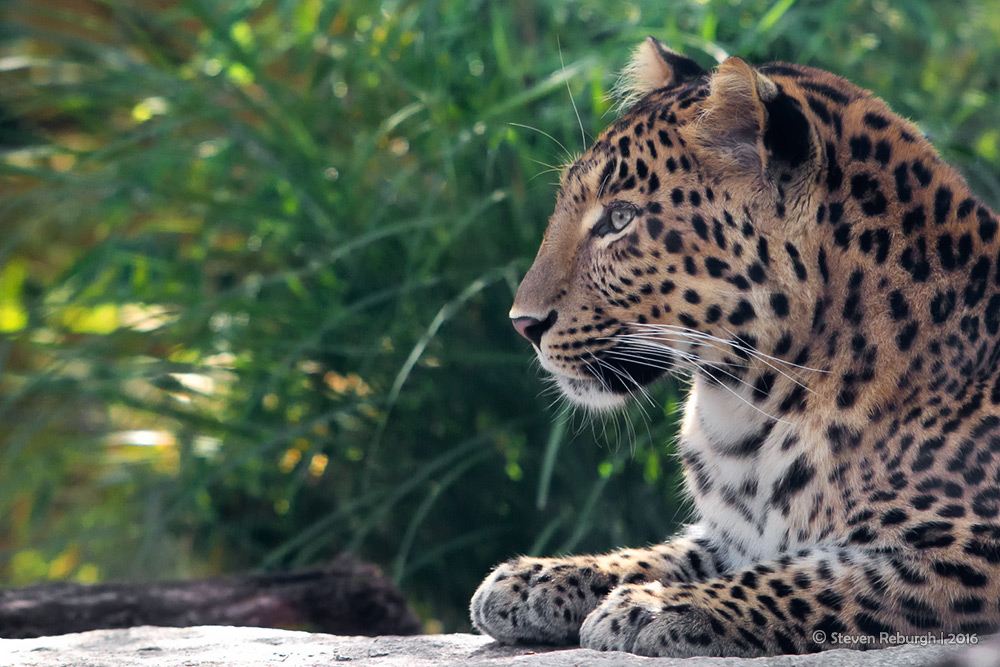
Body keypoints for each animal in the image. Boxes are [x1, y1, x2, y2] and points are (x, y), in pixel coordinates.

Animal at [468, 36, 1000, 656]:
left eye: (620, 218)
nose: (522, 323)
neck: (747, 414)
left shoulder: (971, 549)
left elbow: (809, 577)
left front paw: (659, 608)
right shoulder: (729, 535)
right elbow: (666, 552)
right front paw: (537, 579)